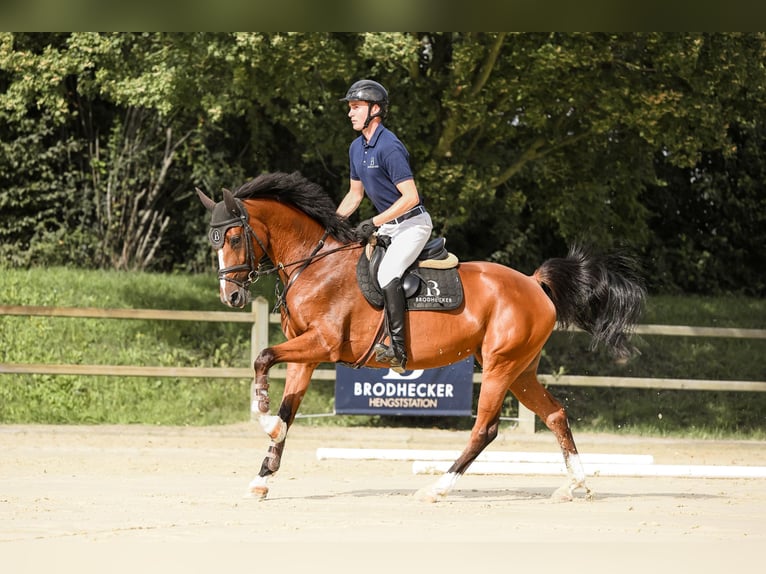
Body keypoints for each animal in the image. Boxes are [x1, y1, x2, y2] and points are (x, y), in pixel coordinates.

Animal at [196, 171, 646, 502]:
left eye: (233, 237)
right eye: (213, 240)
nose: (231, 296)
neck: (314, 264)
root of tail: (534, 284)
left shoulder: (322, 344)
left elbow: (263, 357)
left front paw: (263, 415)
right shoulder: (306, 356)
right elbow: (288, 408)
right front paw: (262, 476)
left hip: (500, 365)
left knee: (485, 429)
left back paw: (438, 487)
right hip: (520, 369)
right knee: (554, 414)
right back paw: (575, 485)